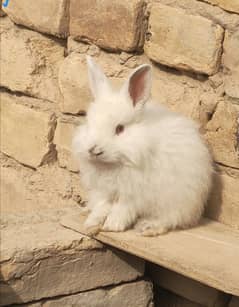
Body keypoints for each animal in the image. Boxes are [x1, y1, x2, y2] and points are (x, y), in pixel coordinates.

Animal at [73, 56, 213, 237]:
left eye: (120, 129)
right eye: (89, 122)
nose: (94, 150)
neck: (115, 164)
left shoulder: (133, 194)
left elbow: (122, 209)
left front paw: (112, 226)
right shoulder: (104, 191)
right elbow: (102, 206)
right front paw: (91, 223)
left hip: (179, 199)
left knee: (171, 218)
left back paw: (148, 227)